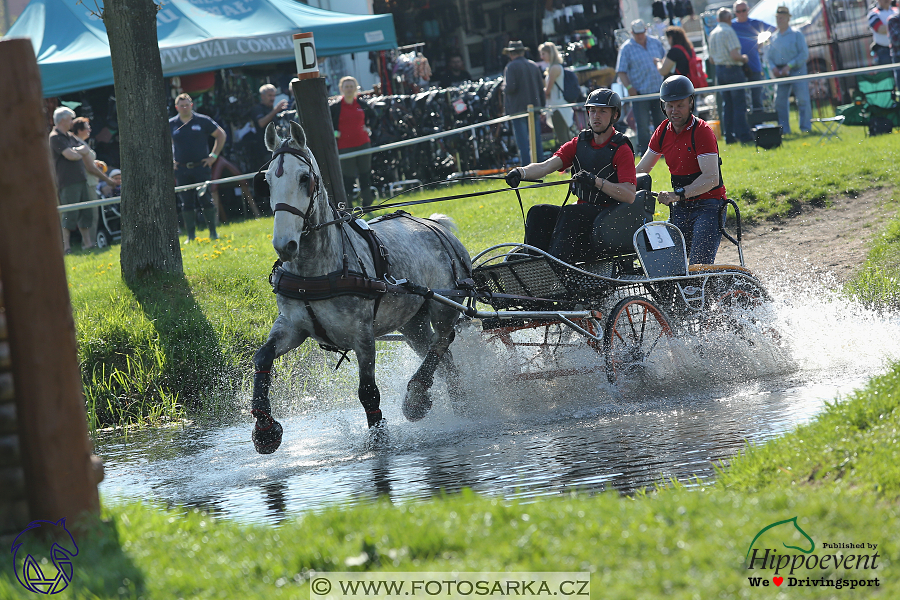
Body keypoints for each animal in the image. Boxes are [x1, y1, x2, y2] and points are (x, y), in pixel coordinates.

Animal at [248, 119, 468, 452]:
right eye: (268, 181)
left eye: (304, 178)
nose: (284, 244)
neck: (316, 271)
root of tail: (436, 225)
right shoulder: (292, 326)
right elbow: (262, 358)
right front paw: (265, 428)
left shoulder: (362, 334)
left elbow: (368, 391)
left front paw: (379, 438)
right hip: (411, 322)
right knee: (440, 353)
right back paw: (456, 399)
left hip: (443, 304)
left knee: (444, 339)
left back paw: (417, 397)